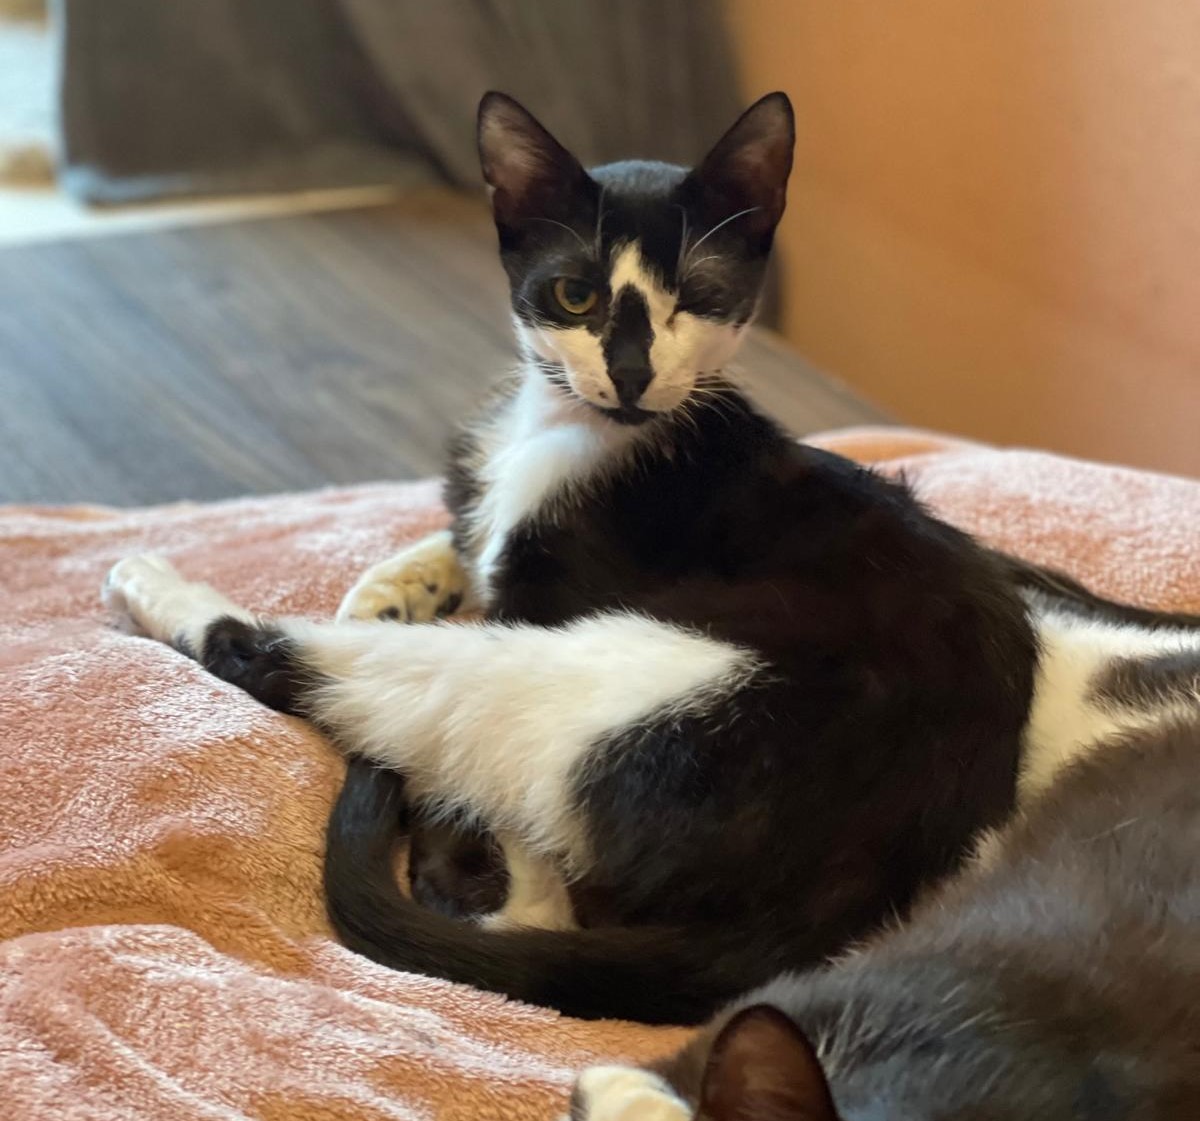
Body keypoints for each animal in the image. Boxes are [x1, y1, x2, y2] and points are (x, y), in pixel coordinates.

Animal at [101, 90, 1200, 1027]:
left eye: (697, 295)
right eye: (574, 292)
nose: (629, 371)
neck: (576, 431)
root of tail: (860, 883)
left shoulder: (555, 589)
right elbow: (463, 524)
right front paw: (394, 579)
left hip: (616, 687)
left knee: (341, 698)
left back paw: (157, 588)